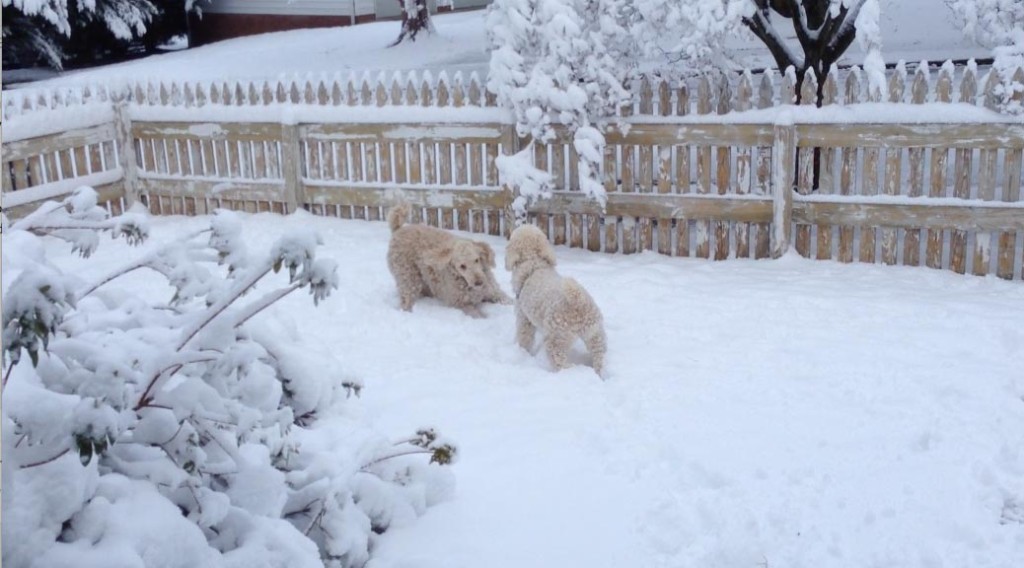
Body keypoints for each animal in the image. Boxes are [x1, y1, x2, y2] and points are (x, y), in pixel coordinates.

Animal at [505, 223, 606, 378]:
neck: (534, 264)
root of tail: (578, 301)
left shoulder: (524, 319)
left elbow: (524, 338)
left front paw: (522, 352)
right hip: (595, 333)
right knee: (599, 357)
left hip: (557, 338)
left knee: (560, 361)